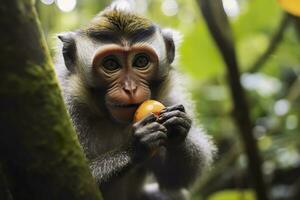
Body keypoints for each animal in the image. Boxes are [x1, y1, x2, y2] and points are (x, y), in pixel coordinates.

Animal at [54, 1, 216, 200]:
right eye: (110, 64)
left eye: (141, 61)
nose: (130, 88)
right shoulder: (65, 105)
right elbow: (68, 182)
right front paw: (136, 146)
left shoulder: (169, 97)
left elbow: (173, 179)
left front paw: (179, 125)